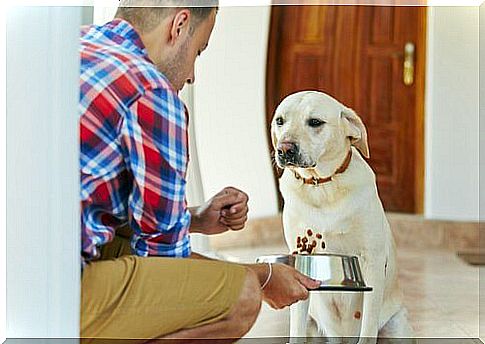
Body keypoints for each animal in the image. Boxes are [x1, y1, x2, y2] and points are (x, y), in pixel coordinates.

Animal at [268, 90, 412, 342]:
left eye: (315, 122)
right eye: (280, 121)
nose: (284, 149)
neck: (322, 186)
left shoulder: (373, 260)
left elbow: (368, 327)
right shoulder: (300, 257)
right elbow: (295, 327)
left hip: (397, 325)